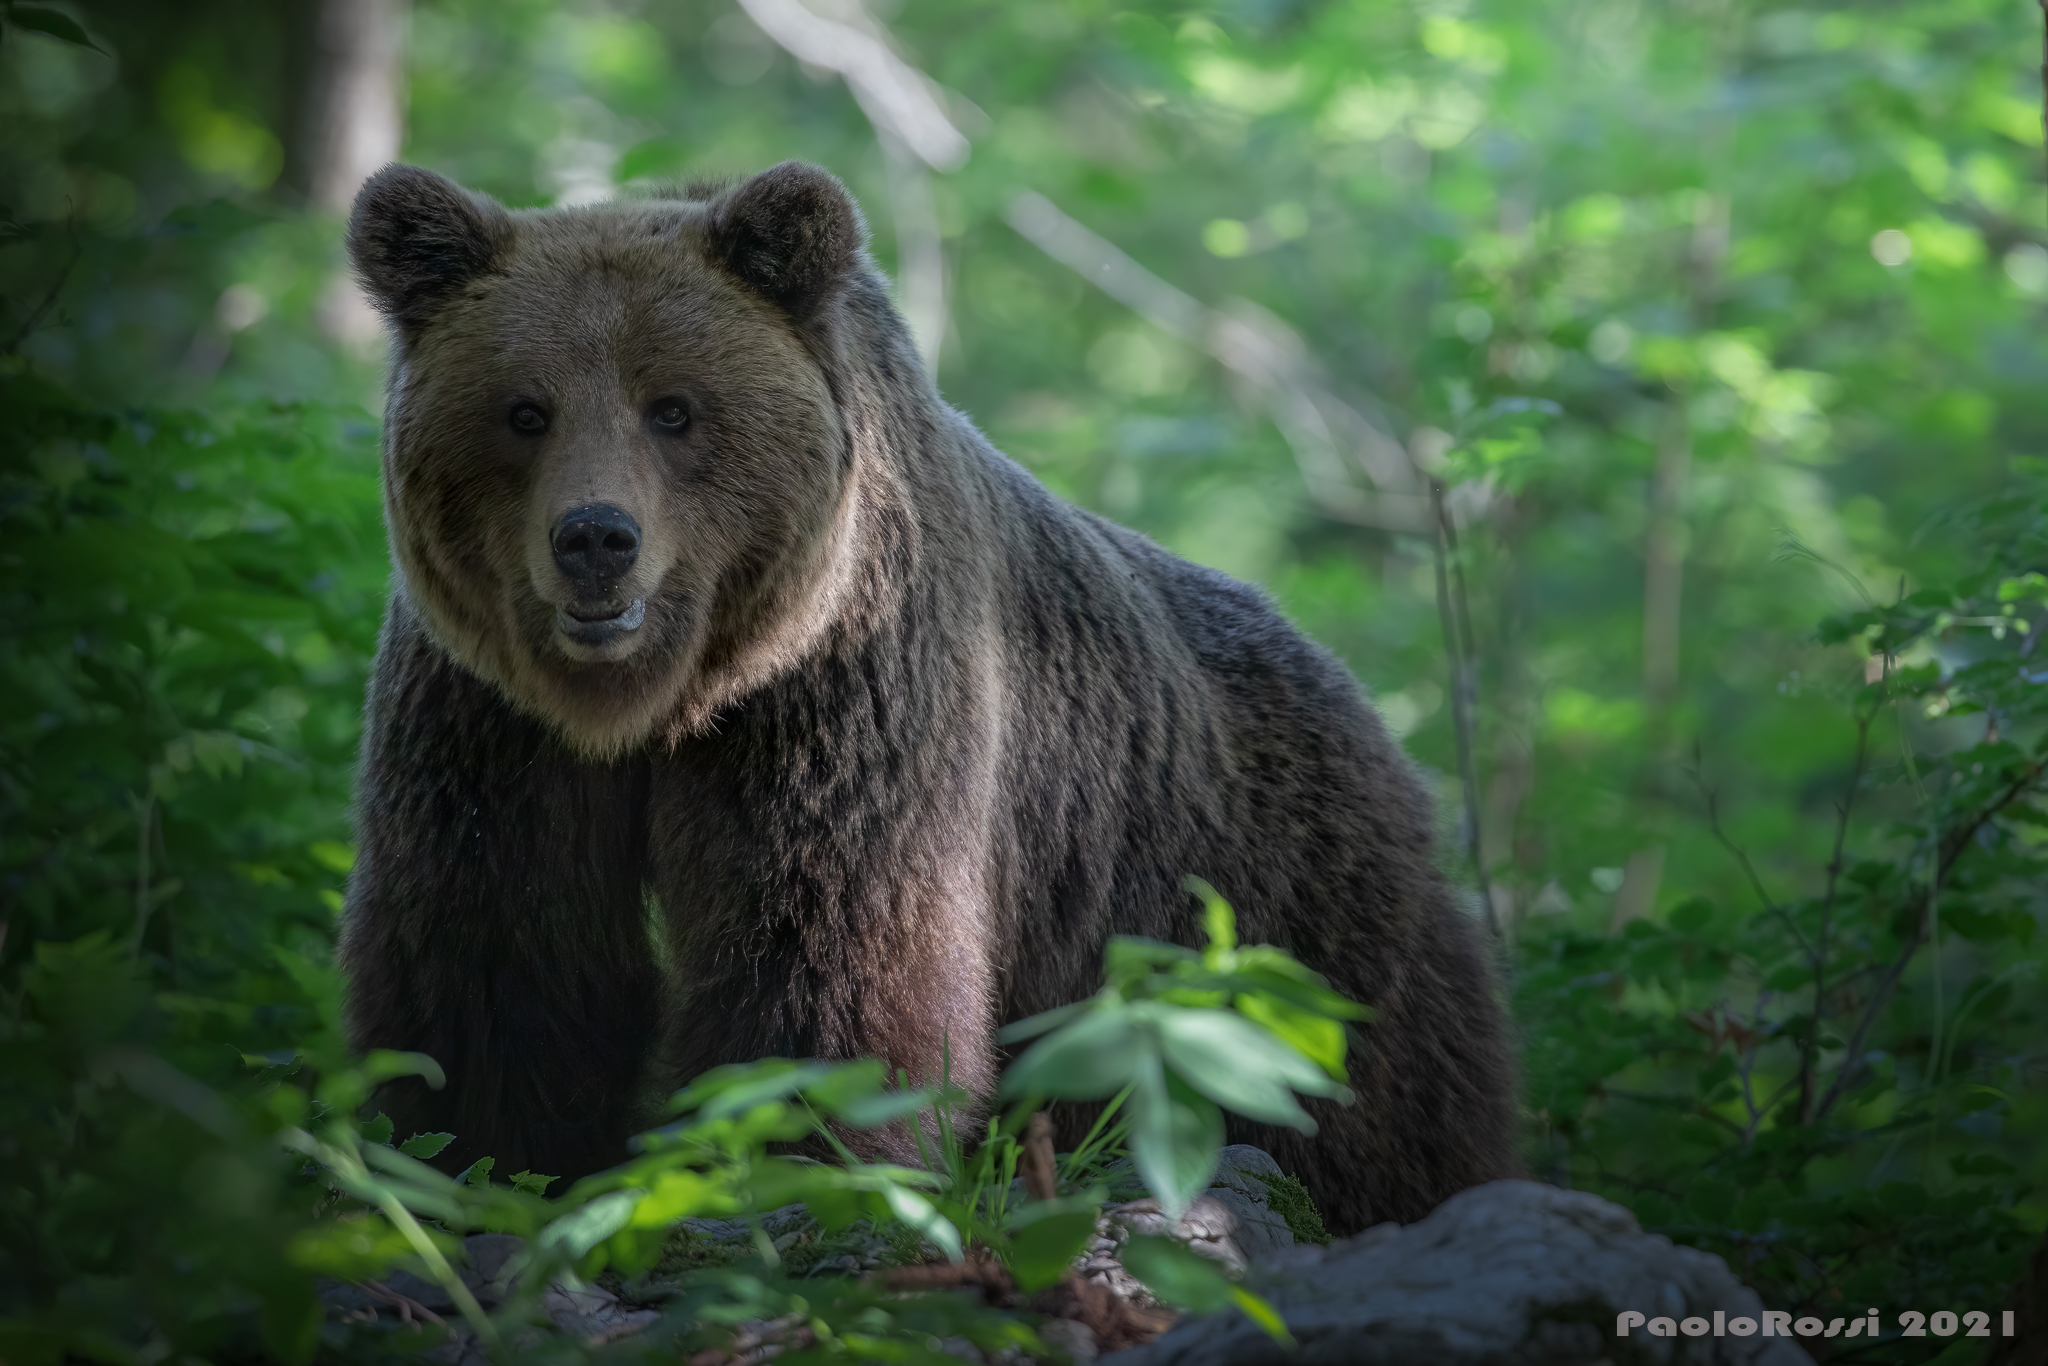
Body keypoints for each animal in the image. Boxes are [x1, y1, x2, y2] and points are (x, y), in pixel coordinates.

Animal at [338, 160, 1517, 1235]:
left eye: (672, 408)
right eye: (524, 409)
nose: (594, 539)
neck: (659, 702)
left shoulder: (844, 691)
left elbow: (822, 953)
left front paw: (796, 1166)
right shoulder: (489, 721)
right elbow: (501, 963)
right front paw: (473, 1164)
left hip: (1279, 931)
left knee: (1374, 1115)